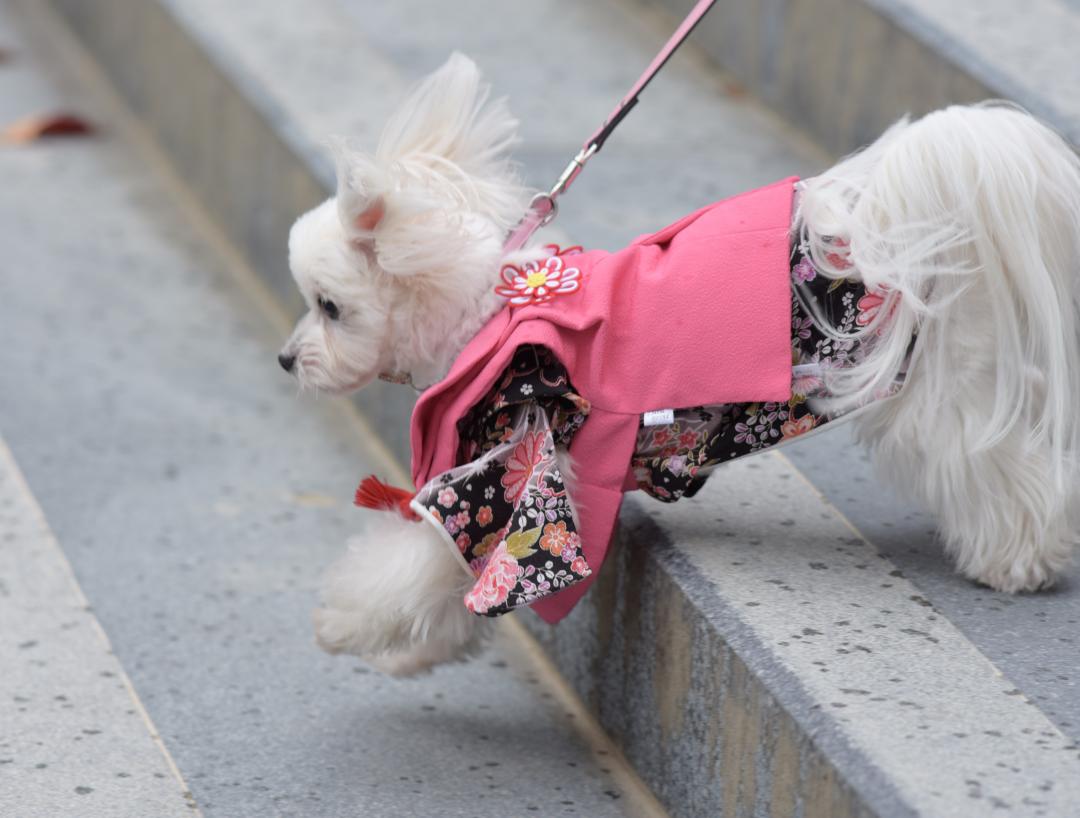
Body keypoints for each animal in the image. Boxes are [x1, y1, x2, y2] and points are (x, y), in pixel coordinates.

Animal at [278, 52, 1080, 678]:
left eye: (330, 307)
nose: (286, 359)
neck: (487, 312)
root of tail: (908, 229)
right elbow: (455, 577)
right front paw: (418, 652)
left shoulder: (516, 460)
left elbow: (437, 556)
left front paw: (344, 623)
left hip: (934, 390)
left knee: (991, 460)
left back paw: (1021, 560)